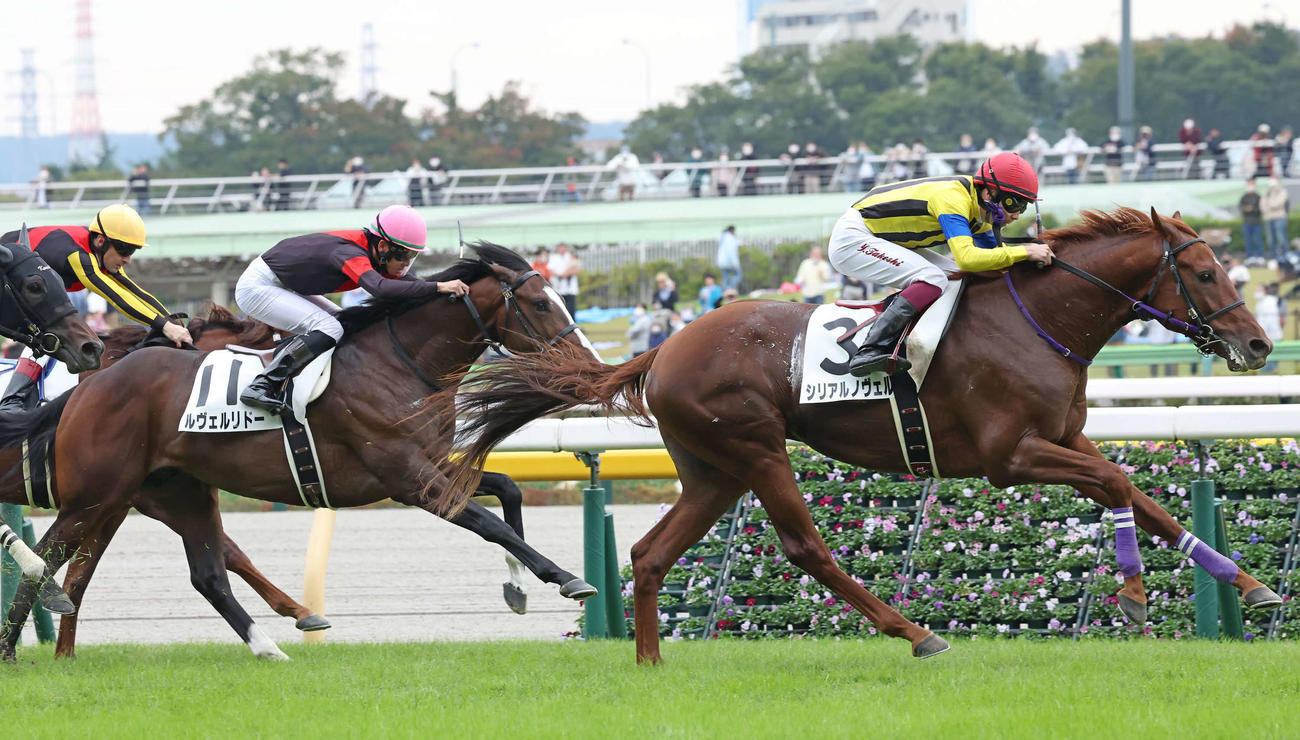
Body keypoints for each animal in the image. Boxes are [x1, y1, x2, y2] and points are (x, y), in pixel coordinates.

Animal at [0, 243, 596, 662]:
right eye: (540, 303)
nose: (588, 365)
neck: (399, 362)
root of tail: (93, 382)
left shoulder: (431, 467)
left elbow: (509, 491)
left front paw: (517, 588)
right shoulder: (408, 479)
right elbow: (490, 523)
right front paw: (566, 577)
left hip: (165, 490)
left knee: (199, 573)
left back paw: (269, 645)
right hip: (99, 494)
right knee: (47, 557)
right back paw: (14, 648)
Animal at [440, 208, 1281, 663]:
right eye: (1205, 274)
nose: (1259, 345)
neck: (1036, 322)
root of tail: (664, 348)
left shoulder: (1067, 439)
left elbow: (1144, 494)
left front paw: (1252, 585)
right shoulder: (1011, 458)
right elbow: (1115, 487)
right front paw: (1135, 597)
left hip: (713, 469)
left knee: (650, 553)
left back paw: (649, 660)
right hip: (757, 448)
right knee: (805, 547)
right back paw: (915, 633)